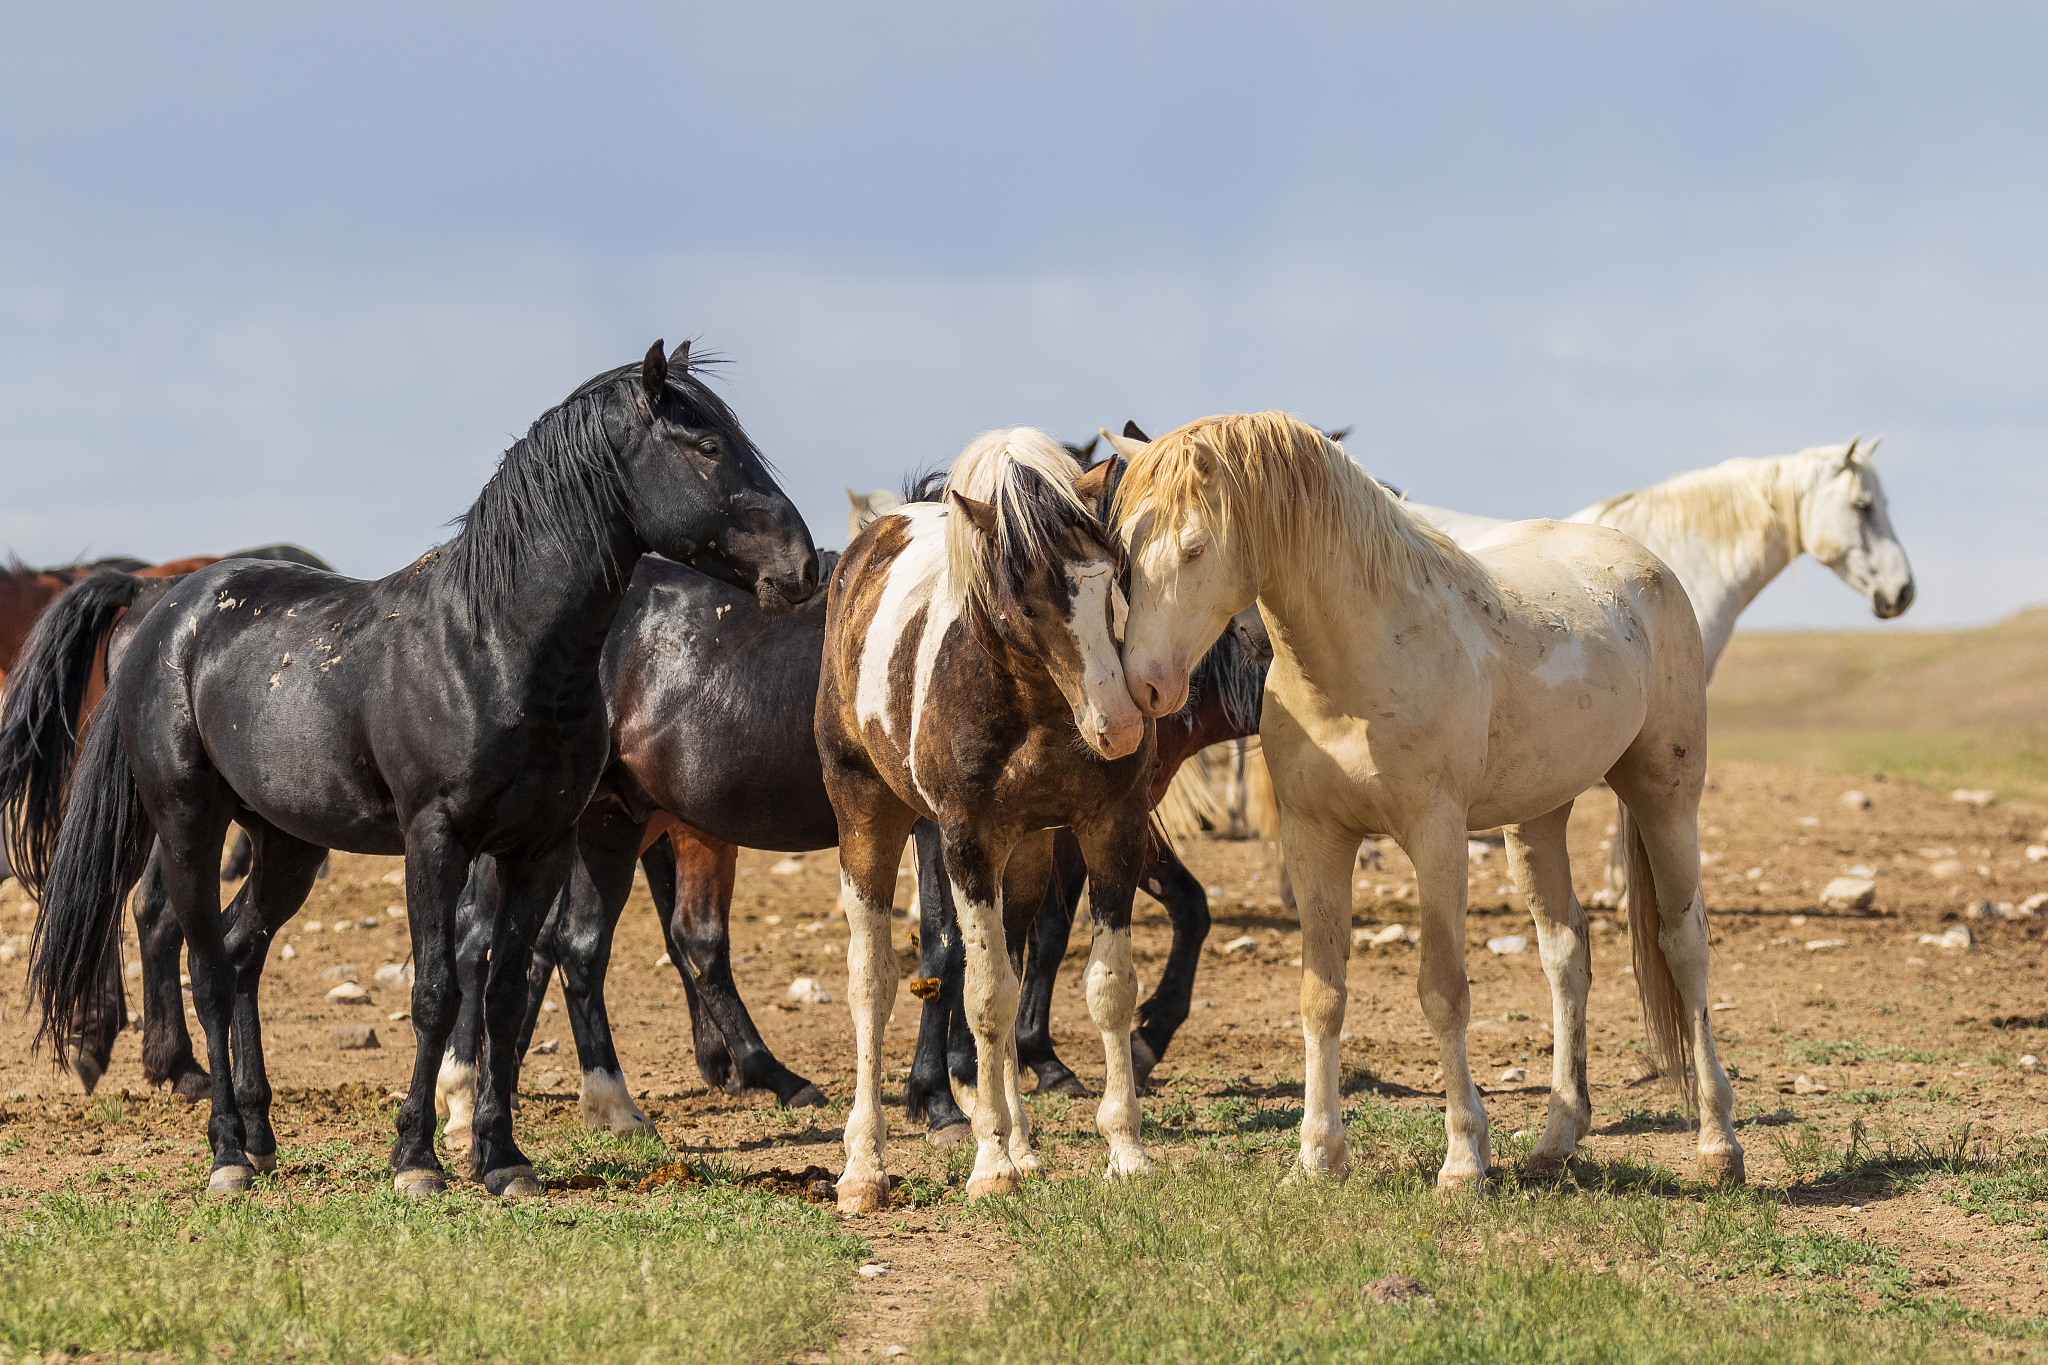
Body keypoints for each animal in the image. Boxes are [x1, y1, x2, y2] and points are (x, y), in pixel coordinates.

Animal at [17, 340, 817, 1200]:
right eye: (706, 446)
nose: (803, 566)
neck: (492, 647)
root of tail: (162, 608)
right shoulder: (435, 839)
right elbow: (436, 991)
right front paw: (417, 1156)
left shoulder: (541, 847)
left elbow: (504, 994)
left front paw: (502, 1157)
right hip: (189, 820)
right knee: (203, 965)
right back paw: (227, 1149)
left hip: (286, 842)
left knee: (239, 951)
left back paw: (262, 1136)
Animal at [818, 426, 1152, 1212]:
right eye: (1025, 599)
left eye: (1113, 578)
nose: (1120, 725)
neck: (1036, 705)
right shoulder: (965, 841)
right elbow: (986, 999)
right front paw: (989, 1160)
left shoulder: (1109, 829)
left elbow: (1105, 988)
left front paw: (1123, 1152)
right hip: (866, 817)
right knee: (872, 986)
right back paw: (864, 1167)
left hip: (1023, 856)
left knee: (1008, 961)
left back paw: (1023, 1145)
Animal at [1110, 411, 1740, 1188]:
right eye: (1123, 553)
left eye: (1194, 546)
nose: (1145, 686)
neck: (1358, 665)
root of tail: (1645, 566)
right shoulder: (1314, 838)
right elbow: (1321, 997)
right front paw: (1317, 1157)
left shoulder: (1437, 837)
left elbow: (1443, 992)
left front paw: (1464, 1158)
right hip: (1538, 819)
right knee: (1566, 953)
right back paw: (1557, 1136)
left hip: (1665, 799)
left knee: (1685, 946)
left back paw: (1718, 1143)